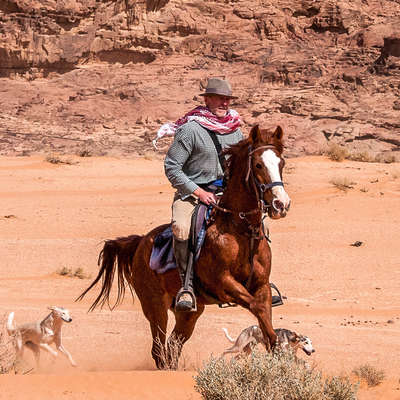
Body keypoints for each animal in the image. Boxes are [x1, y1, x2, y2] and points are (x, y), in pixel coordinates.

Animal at [77, 125, 290, 368]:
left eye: (281, 163)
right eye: (258, 165)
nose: (281, 204)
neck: (239, 231)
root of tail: (141, 242)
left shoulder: (262, 286)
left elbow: (264, 314)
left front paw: (278, 353)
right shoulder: (223, 283)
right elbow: (256, 307)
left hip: (189, 313)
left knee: (173, 345)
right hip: (155, 307)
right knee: (159, 349)